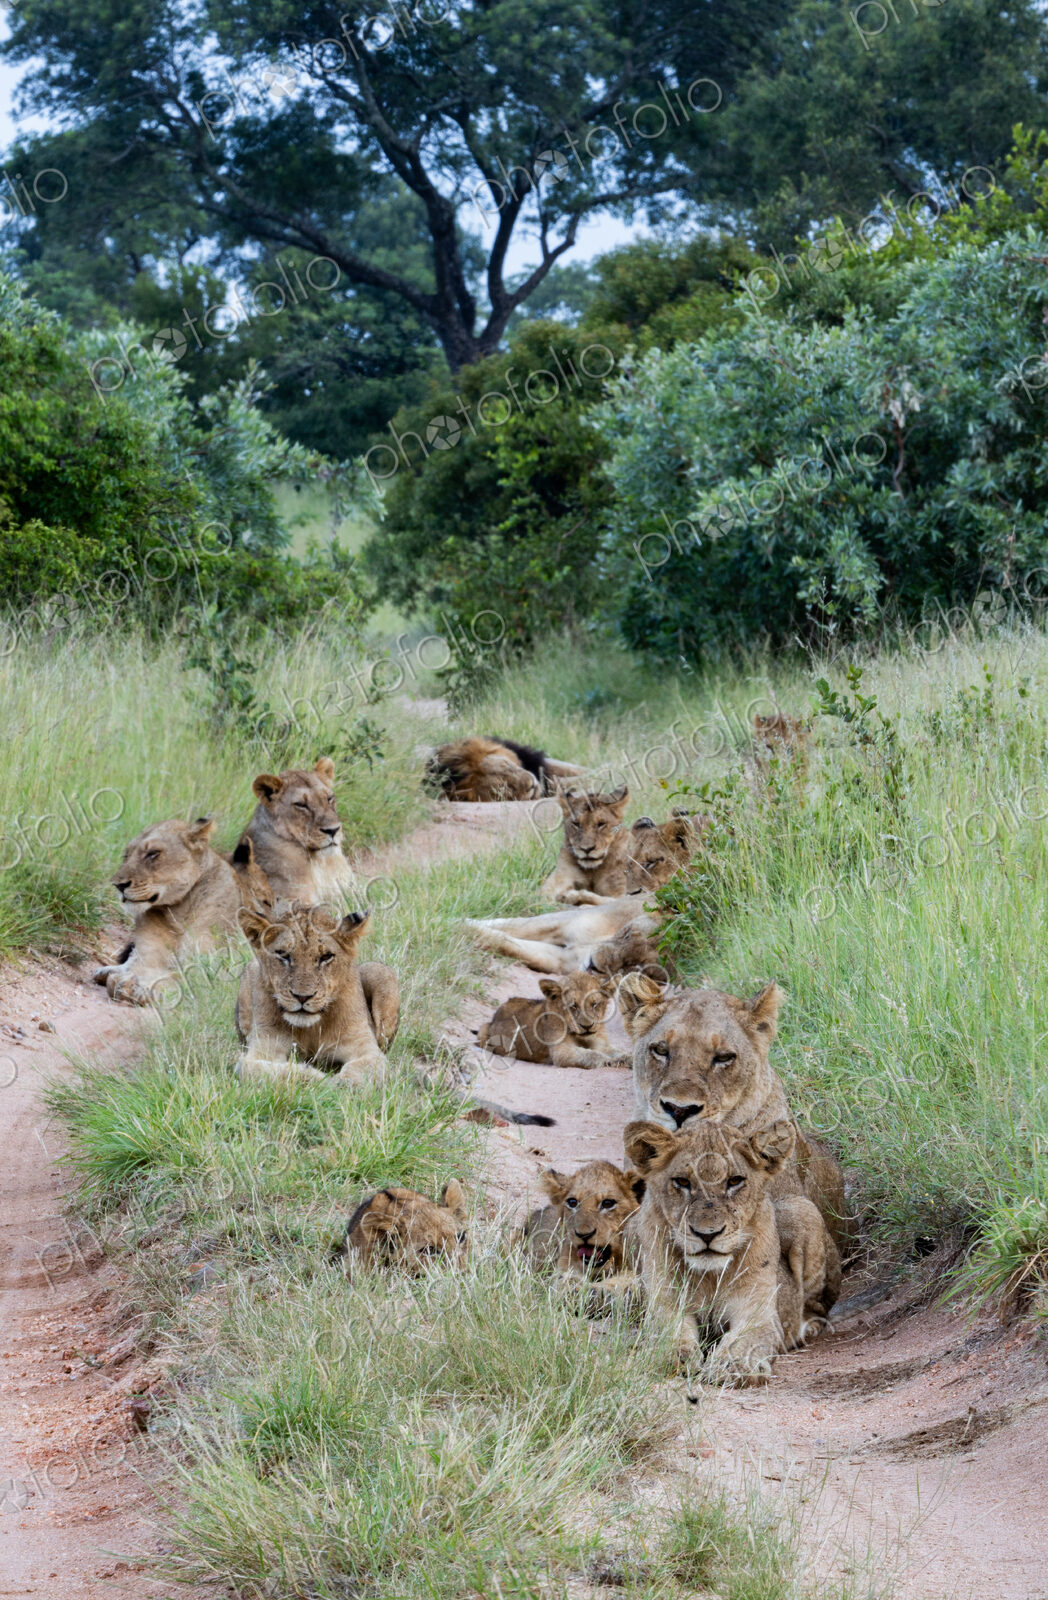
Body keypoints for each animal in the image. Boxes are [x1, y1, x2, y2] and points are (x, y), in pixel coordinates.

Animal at [92, 817, 268, 1006]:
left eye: (153, 854)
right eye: (126, 856)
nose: (118, 885)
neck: (177, 914)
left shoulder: (211, 967)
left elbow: (177, 977)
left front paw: (137, 988)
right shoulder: (147, 956)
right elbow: (140, 966)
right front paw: (125, 981)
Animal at [235, 902, 399, 1085]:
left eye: (326, 956)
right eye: (283, 955)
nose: (302, 997)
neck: (311, 1029)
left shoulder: (367, 1048)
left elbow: (361, 1070)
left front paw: (341, 1083)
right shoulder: (262, 1047)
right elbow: (258, 1069)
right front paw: (320, 1079)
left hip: (382, 973)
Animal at [475, 972, 628, 1069]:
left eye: (595, 1004)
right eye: (573, 1006)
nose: (587, 1027)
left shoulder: (599, 1042)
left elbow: (614, 1050)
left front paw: (626, 1058)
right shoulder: (560, 1051)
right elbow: (591, 1054)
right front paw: (608, 1060)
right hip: (483, 1031)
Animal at [625, 1118, 822, 1379]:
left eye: (734, 1181)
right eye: (682, 1182)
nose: (707, 1234)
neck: (710, 1276)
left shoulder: (757, 1310)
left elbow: (746, 1339)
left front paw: (733, 1364)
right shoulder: (665, 1303)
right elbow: (668, 1331)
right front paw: (670, 1357)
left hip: (801, 1209)